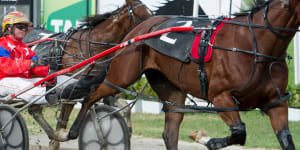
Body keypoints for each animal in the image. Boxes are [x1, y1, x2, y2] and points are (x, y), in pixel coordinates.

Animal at [24, 0, 152, 149]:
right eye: (141, 15)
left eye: (151, 13)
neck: (93, 46)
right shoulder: (71, 87)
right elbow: (64, 119)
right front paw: (59, 137)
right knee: (33, 109)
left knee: (34, 109)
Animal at [60, 0, 298, 149]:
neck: (254, 44)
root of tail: (137, 33)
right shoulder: (221, 97)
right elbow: (239, 132)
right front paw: (205, 139)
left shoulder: (275, 102)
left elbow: (286, 139)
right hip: (121, 75)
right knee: (91, 95)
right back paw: (70, 131)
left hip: (171, 88)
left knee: (170, 133)